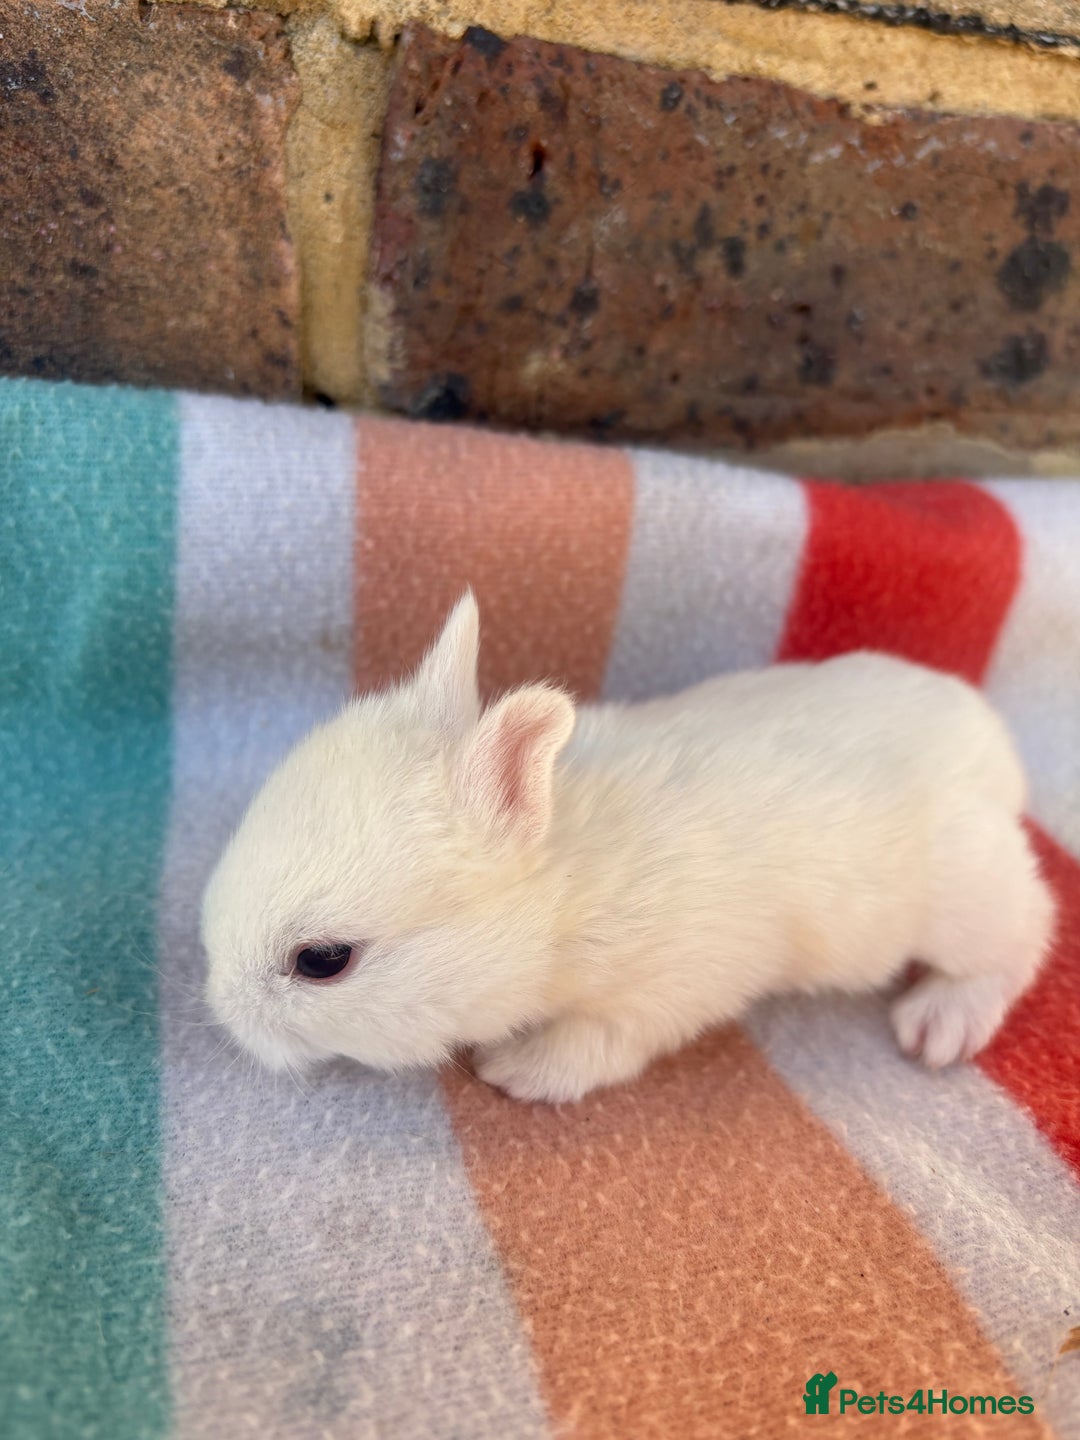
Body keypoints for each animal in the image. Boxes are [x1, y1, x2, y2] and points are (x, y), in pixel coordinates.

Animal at [201, 591, 1055, 1104]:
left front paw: (517, 1070)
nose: (224, 1017)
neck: (563, 896)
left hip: (963, 893)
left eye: (323, 961)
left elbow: (600, 1043)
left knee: (1027, 930)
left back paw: (942, 1021)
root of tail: (996, 746)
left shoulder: (665, 989)